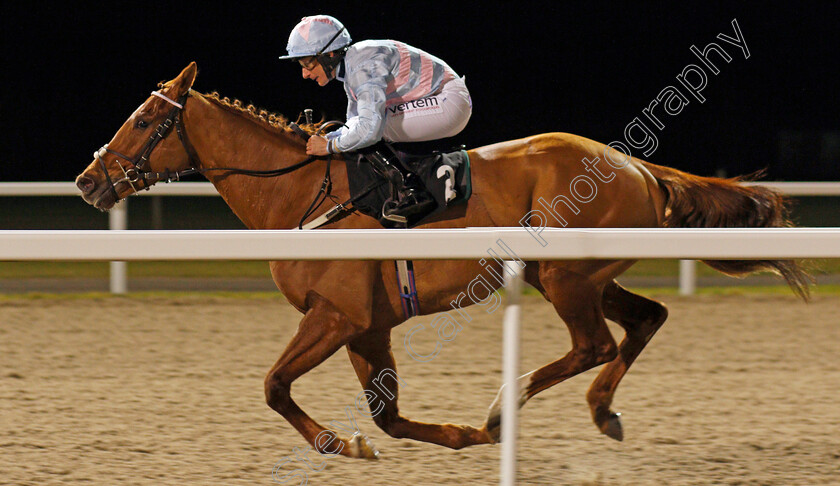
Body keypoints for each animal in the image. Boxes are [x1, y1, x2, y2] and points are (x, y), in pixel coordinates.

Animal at [79, 62, 808, 458]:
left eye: (142, 120)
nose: (89, 181)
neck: (301, 190)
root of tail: (637, 165)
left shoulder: (336, 316)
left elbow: (275, 386)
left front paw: (342, 443)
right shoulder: (368, 325)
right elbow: (388, 416)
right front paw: (434, 437)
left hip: (563, 275)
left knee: (594, 343)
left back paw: (506, 404)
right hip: (582, 274)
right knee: (646, 319)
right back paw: (600, 412)